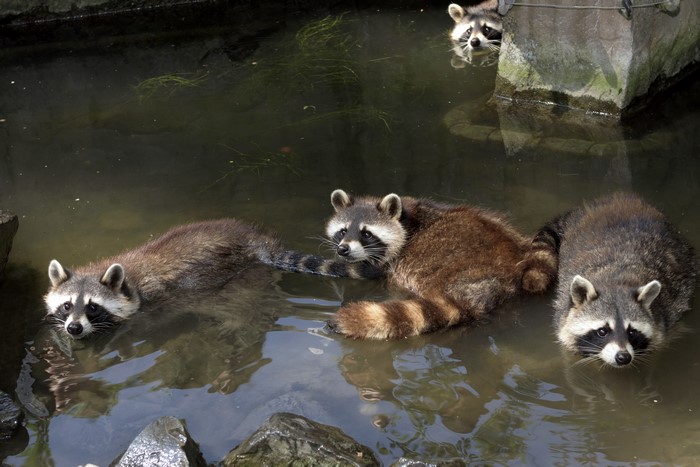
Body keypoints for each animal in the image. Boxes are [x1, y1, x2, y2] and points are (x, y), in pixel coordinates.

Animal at [45, 218, 383, 339]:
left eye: (93, 307)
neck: (129, 283)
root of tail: (256, 241)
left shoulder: (154, 301)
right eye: (66, 306)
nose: (74, 328)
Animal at [545, 193, 697, 367]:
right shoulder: (562, 311)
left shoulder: (667, 317)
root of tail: (620, 198)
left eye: (632, 332)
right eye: (602, 331)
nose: (623, 357)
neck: (615, 281)